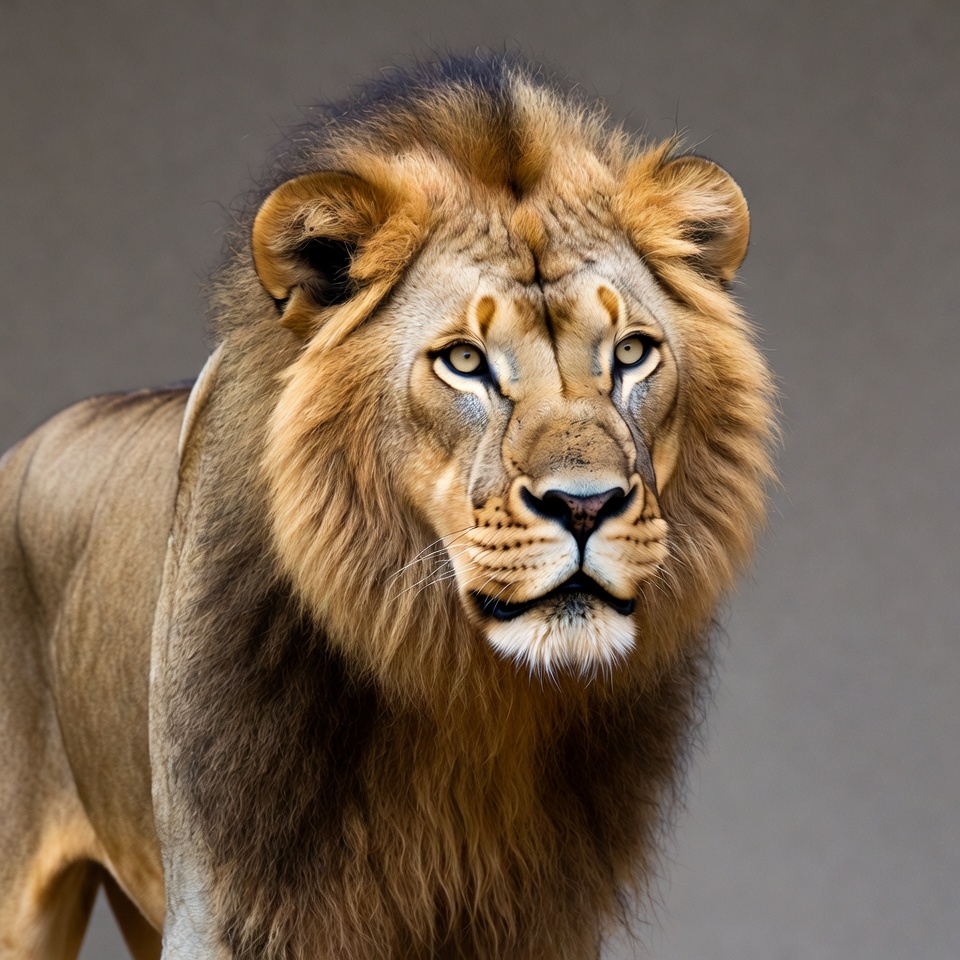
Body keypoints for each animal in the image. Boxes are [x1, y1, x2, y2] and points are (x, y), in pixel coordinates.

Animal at [0, 56, 775, 959]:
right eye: (465, 362)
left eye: (631, 353)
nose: (585, 506)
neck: (463, 691)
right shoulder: (220, 909)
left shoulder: (546, 925)